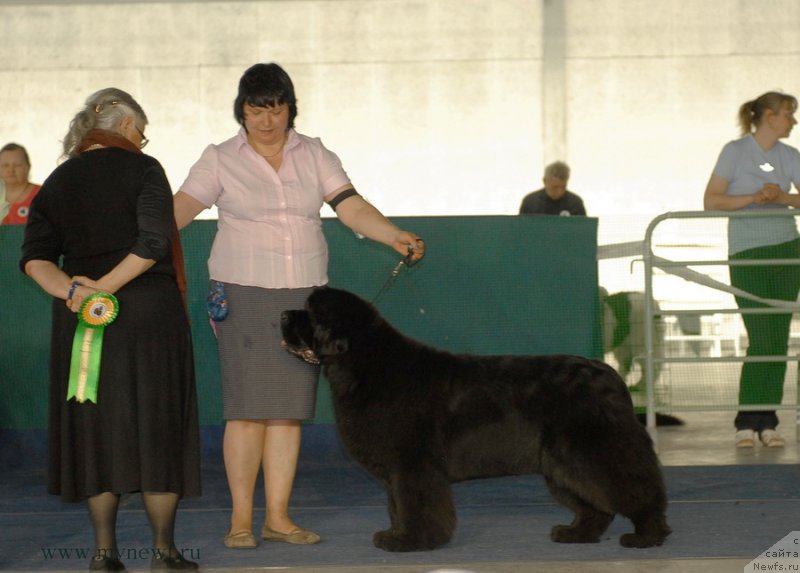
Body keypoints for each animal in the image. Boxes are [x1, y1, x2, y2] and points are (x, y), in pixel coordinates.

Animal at [282, 288, 668, 552]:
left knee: (638, 489)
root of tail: (608, 374)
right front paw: (395, 534)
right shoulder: (397, 471)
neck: (364, 364)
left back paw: (646, 535)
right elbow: (396, 506)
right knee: (595, 503)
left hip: (593, 450)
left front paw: (411, 541)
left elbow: (415, 505)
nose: (284, 314)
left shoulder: (413, 465)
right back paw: (575, 533)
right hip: (563, 463)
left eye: (309, 312)